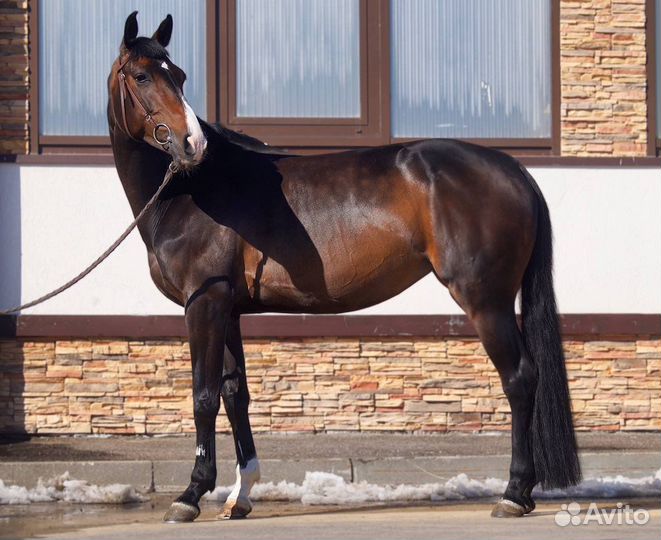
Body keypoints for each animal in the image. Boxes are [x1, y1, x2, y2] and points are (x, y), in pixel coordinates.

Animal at [107, 12, 580, 522]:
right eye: (142, 76)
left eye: (178, 76)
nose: (193, 143)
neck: (195, 190)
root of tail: (514, 169)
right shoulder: (226, 310)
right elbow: (235, 395)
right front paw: (240, 495)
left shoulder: (204, 304)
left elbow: (203, 395)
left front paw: (191, 495)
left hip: (486, 301)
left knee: (520, 379)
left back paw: (514, 492)